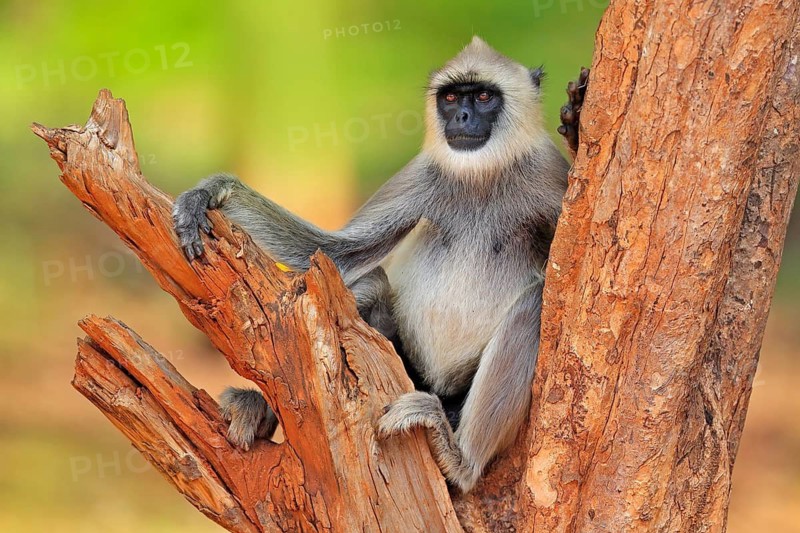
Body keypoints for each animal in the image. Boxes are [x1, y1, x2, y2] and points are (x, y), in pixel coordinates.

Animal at [172, 36, 588, 492]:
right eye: (450, 98)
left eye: (482, 97)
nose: (461, 116)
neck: (482, 176)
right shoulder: (420, 175)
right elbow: (333, 252)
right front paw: (212, 193)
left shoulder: (544, 175)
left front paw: (576, 129)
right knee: (369, 283)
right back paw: (261, 407)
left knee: (532, 305)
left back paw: (460, 460)